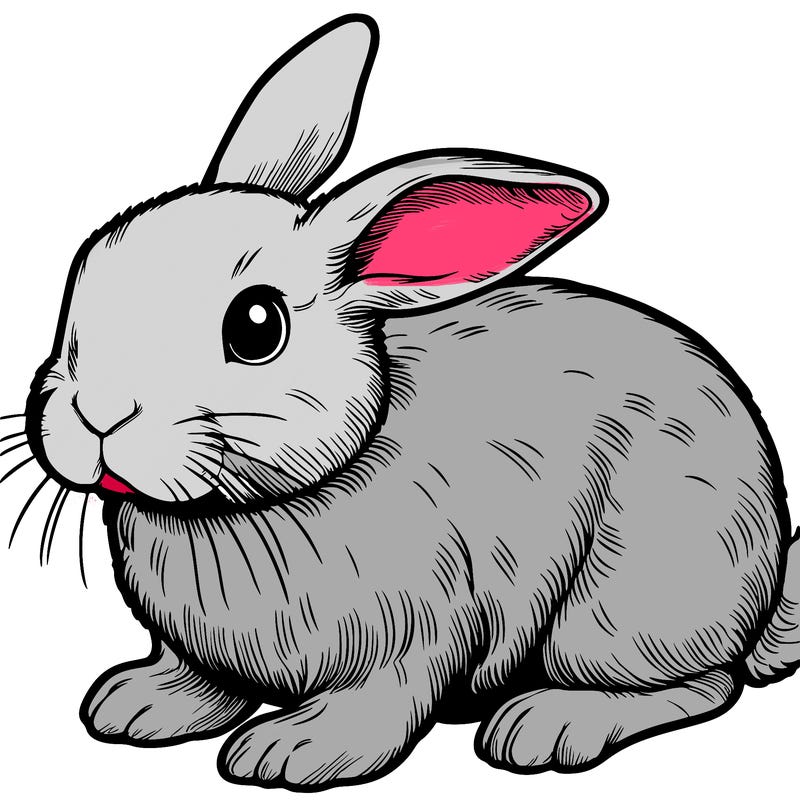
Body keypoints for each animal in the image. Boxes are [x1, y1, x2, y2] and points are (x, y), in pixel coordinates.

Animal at [14, 11, 800, 792]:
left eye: (256, 326)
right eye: (85, 270)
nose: (97, 414)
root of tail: (765, 585)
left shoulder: (417, 631)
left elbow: (381, 702)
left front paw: (293, 751)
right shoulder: (201, 650)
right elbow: (201, 680)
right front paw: (136, 704)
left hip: (619, 610)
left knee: (704, 684)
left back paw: (546, 725)